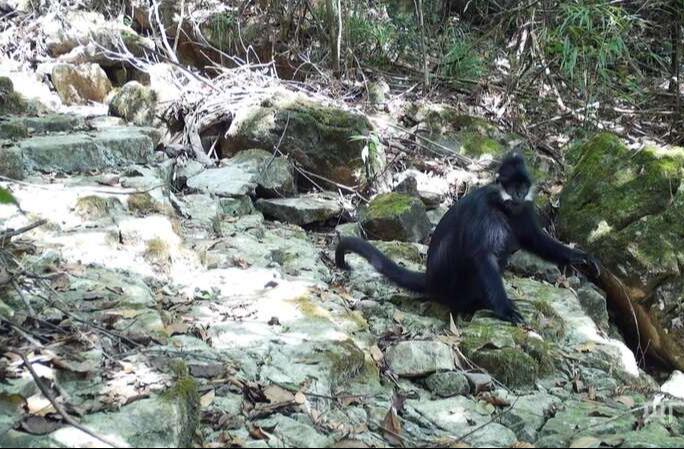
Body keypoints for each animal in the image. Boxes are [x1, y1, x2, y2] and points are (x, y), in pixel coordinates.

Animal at [336, 152, 600, 324]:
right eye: (514, 187)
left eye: (523, 188)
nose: (519, 194)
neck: (502, 206)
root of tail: (432, 280)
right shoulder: (484, 211)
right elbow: (482, 255)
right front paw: (504, 309)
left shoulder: (524, 208)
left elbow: (533, 238)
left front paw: (580, 257)